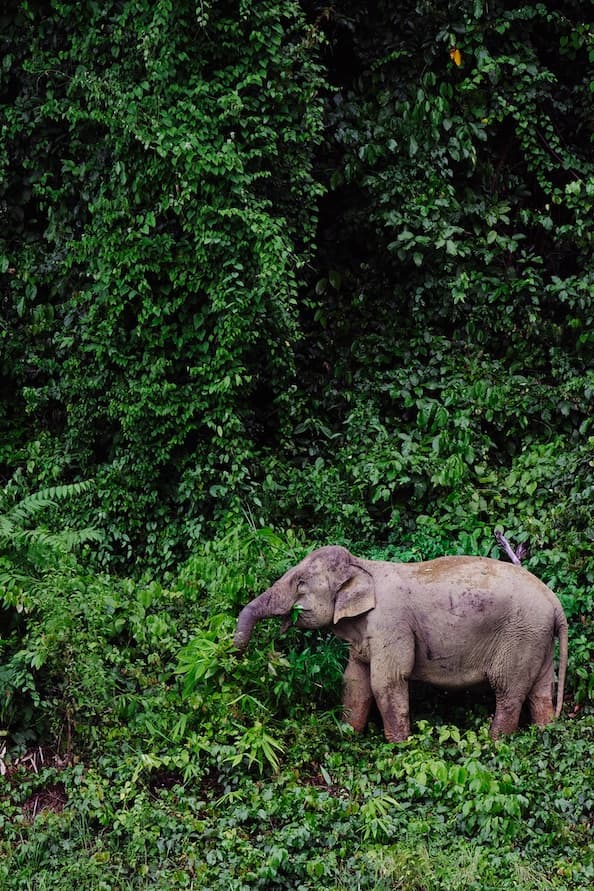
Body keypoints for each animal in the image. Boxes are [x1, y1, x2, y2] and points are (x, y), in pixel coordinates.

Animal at [234, 546, 568, 741]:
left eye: (301, 583)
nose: (237, 655)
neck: (363, 565)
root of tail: (555, 602)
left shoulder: (390, 623)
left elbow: (387, 681)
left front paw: (398, 747)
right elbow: (354, 681)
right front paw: (348, 737)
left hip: (520, 635)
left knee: (508, 691)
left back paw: (495, 743)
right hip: (537, 638)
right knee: (540, 691)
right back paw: (544, 733)